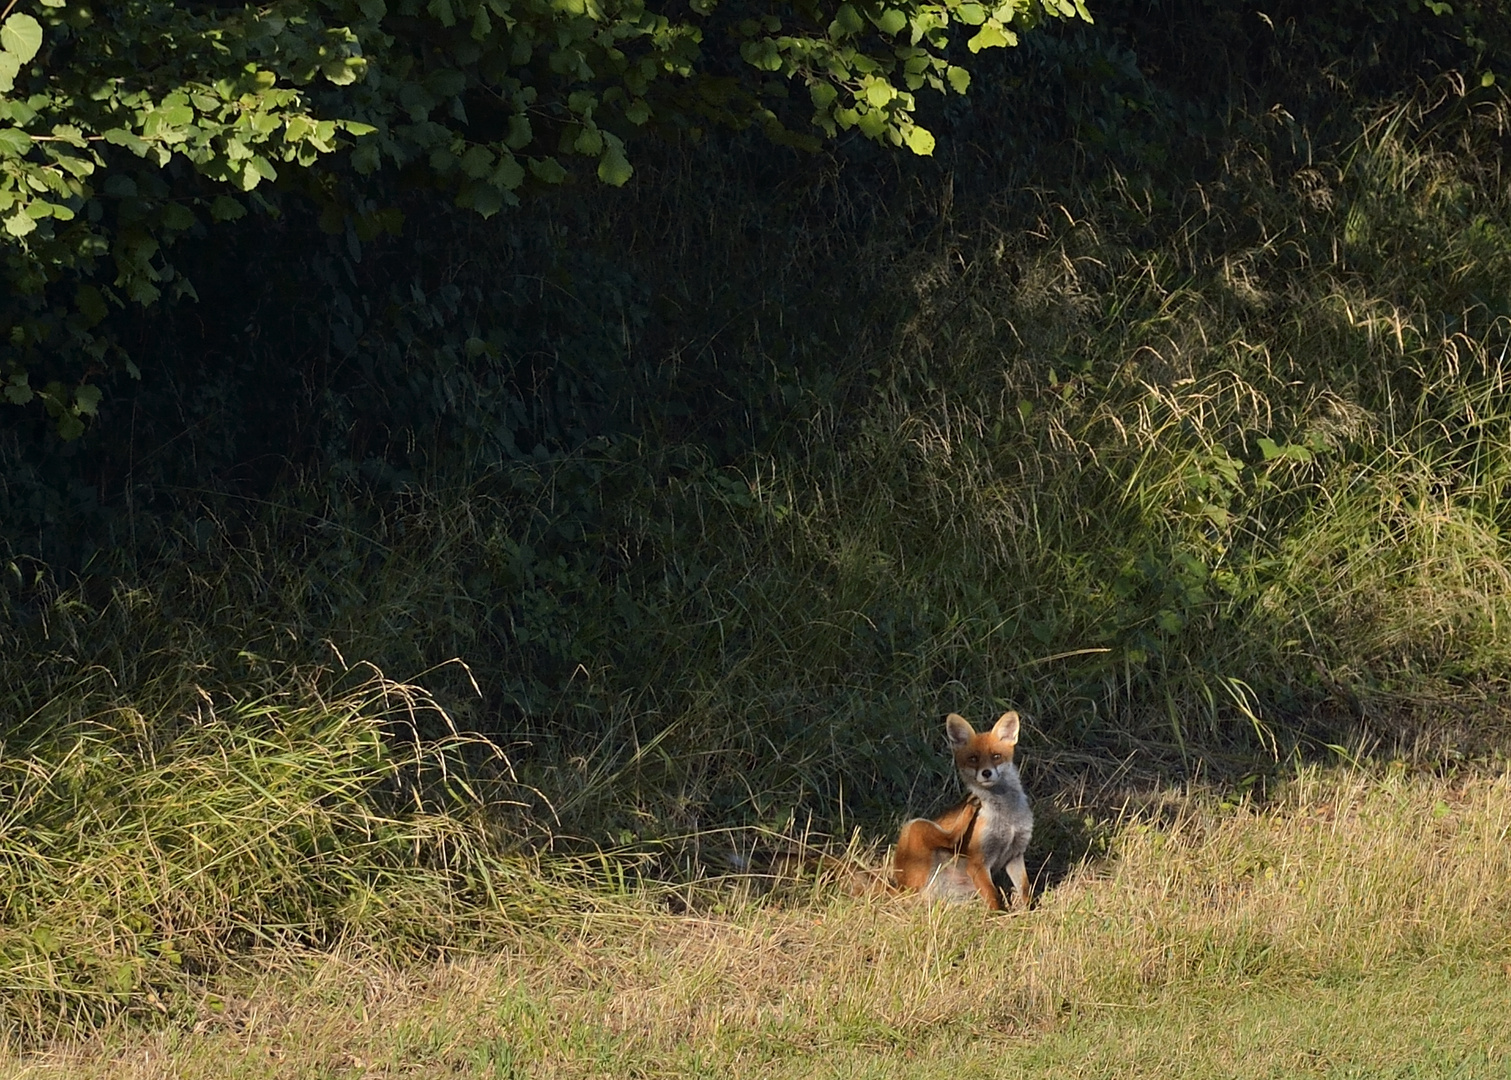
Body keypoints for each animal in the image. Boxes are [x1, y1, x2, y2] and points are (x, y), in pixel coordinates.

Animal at [888, 712, 1033, 906]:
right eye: (973, 759)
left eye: (996, 756)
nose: (986, 773)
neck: (1006, 817)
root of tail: (900, 889)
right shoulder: (978, 862)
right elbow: (994, 898)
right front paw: (1000, 913)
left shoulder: (1015, 854)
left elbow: (1026, 891)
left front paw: (1030, 910)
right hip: (915, 825)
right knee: (950, 839)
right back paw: (969, 807)